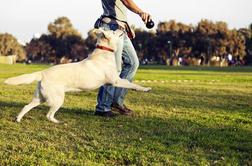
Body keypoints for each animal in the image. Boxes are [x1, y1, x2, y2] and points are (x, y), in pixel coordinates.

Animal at [4, 28, 152, 123]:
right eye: (114, 31)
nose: (122, 27)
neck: (104, 52)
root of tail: (43, 73)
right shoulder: (116, 81)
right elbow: (131, 84)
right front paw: (145, 89)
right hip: (57, 99)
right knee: (48, 115)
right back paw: (58, 122)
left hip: (40, 98)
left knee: (26, 106)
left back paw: (18, 119)